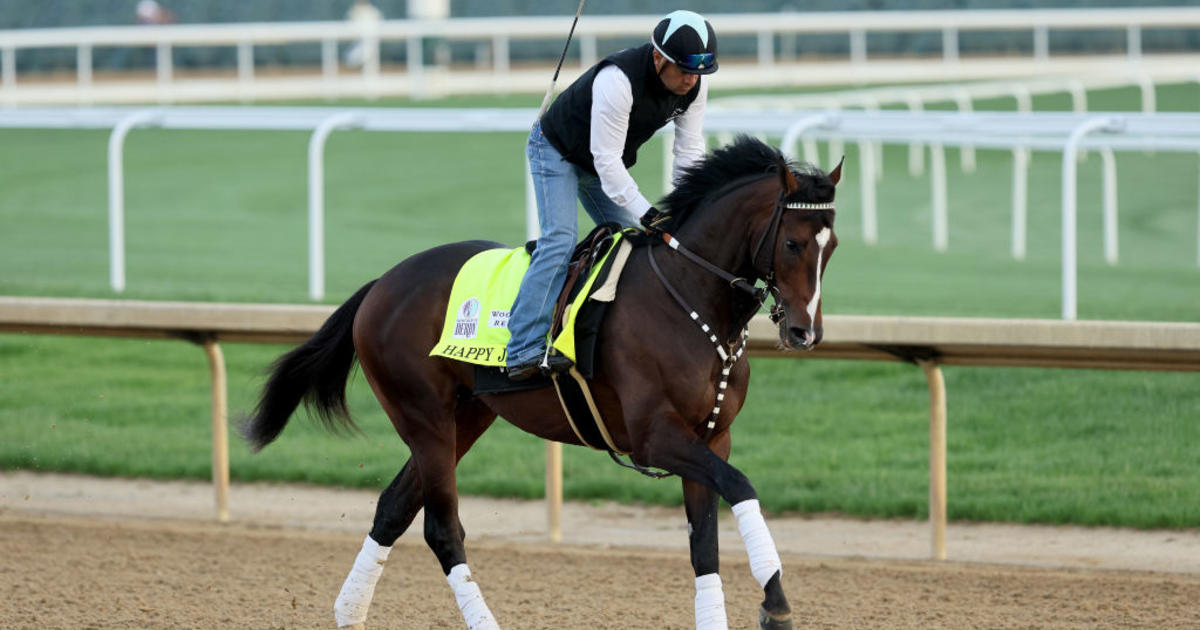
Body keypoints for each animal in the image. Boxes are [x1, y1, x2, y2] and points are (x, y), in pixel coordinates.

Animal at [241, 137, 844, 628]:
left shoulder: (712, 435)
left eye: (831, 247)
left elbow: (705, 543)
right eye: (793, 243)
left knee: (394, 507)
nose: (804, 332)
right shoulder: (656, 438)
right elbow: (741, 487)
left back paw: (350, 611)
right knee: (442, 527)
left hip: (467, 416)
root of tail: (381, 284)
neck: (690, 297)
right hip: (422, 414)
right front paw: (776, 603)